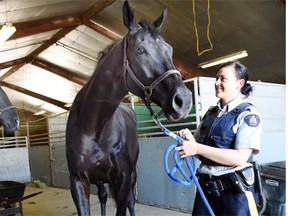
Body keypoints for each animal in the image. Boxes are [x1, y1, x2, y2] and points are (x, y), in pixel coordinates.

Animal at [66, 0, 192, 215]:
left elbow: (125, 204)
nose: (183, 100)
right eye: (140, 50)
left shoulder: (124, 179)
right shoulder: (78, 182)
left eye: (170, 50)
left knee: (131, 202)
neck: (93, 125)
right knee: (102, 196)